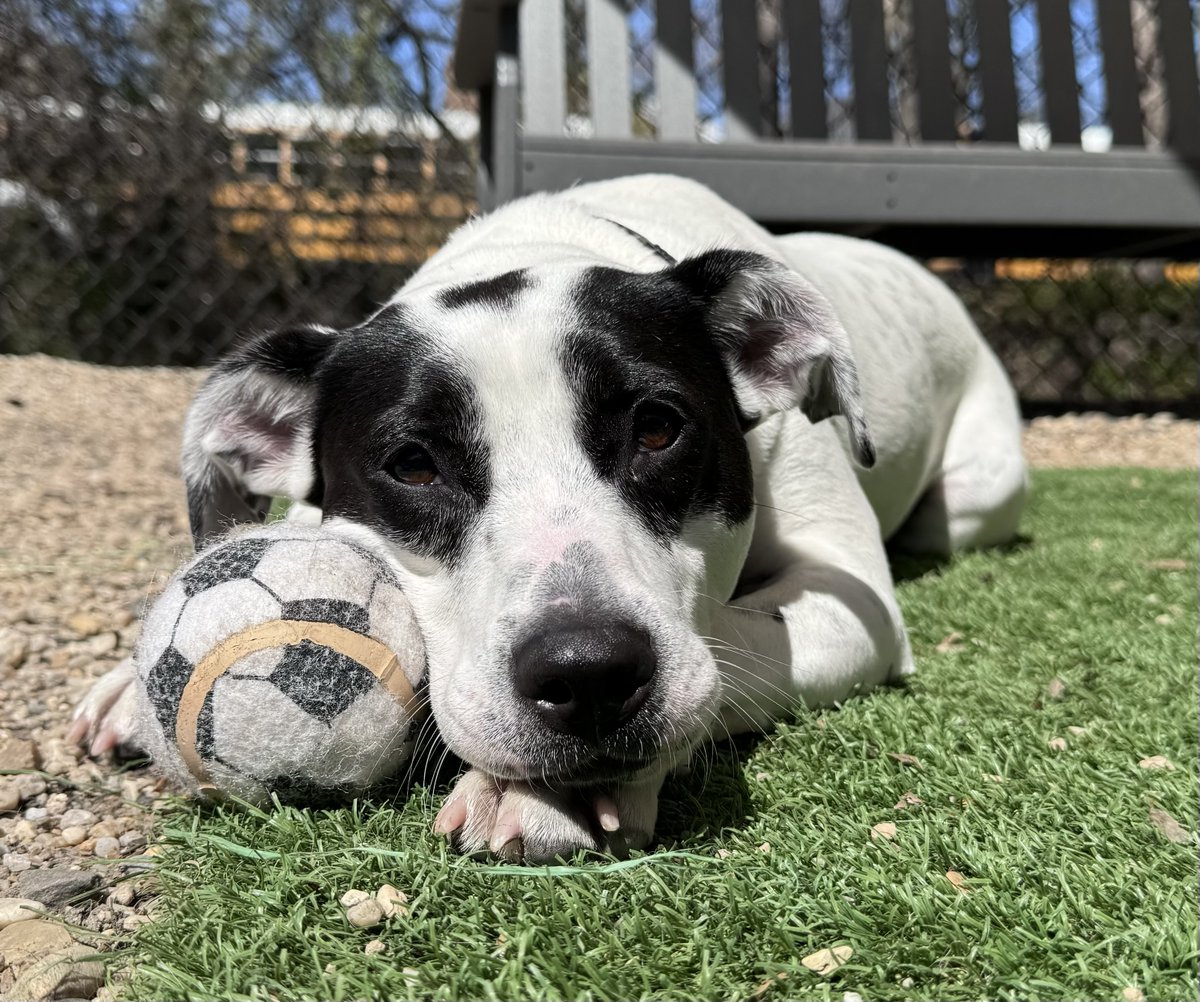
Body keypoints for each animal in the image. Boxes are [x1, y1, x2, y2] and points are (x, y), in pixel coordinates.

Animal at [70, 174, 1027, 864]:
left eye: (658, 427)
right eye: (411, 464)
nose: (587, 674)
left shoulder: (851, 598)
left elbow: (735, 643)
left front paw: (535, 795)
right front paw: (129, 684)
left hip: (974, 495)